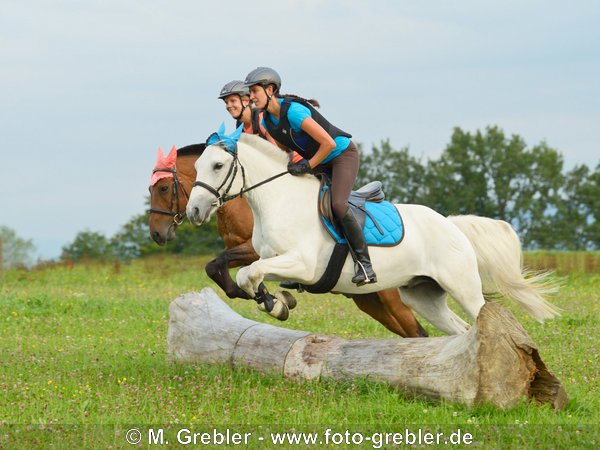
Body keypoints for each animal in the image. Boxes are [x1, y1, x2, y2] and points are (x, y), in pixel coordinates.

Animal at [150, 144, 428, 338]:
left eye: (163, 188)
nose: (156, 234)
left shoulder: (254, 251)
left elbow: (224, 265)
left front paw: (272, 300)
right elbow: (218, 268)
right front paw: (266, 298)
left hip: (389, 296)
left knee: (417, 331)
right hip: (370, 301)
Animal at [188, 134, 556, 334]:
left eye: (218, 166)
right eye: (197, 167)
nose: (193, 211)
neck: (278, 199)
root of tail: (451, 224)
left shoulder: (303, 265)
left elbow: (250, 273)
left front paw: (276, 305)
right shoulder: (273, 261)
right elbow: (250, 275)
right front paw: (276, 302)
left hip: (461, 287)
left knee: (477, 317)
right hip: (423, 295)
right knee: (459, 329)